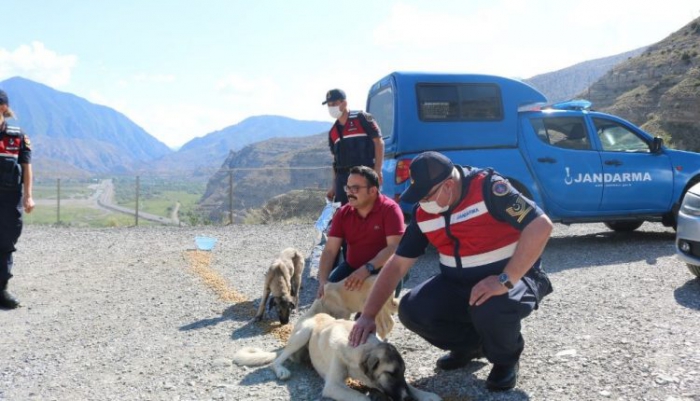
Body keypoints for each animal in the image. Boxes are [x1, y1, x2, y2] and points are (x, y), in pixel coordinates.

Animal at [235, 312, 442, 400]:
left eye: (403, 372)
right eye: (390, 373)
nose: (406, 399)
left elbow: (411, 387)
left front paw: (426, 395)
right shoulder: (333, 386)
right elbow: (363, 398)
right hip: (303, 334)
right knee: (277, 360)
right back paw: (281, 370)